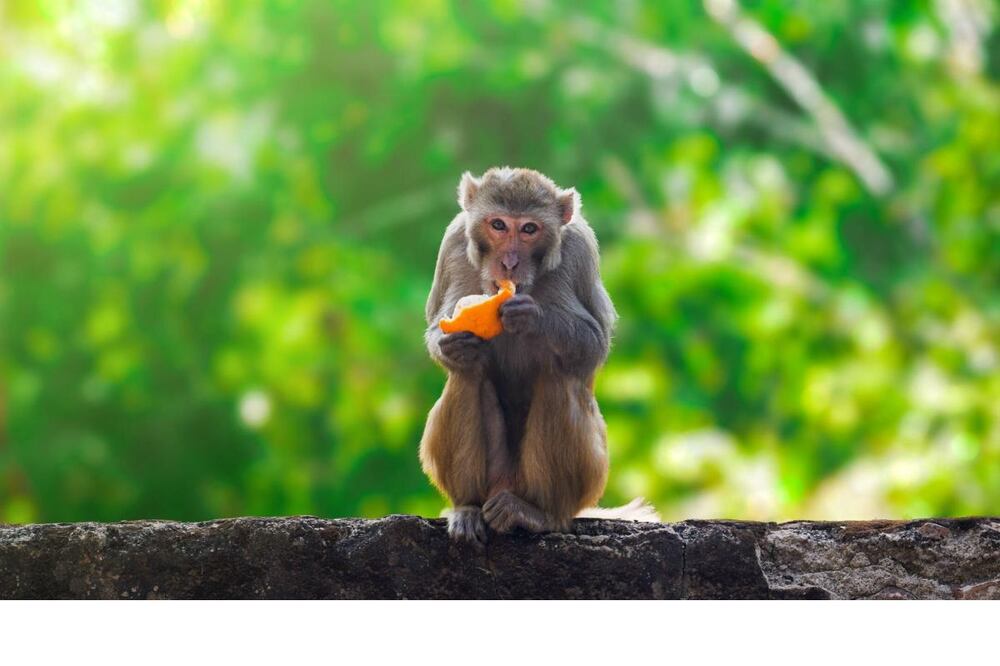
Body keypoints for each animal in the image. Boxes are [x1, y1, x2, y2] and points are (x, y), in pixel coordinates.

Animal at [420, 166, 658, 545]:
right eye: (498, 225)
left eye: (529, 229)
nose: (509, 262)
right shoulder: (454, 242)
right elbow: (439, 324)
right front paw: (450, 343)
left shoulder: (580, 249)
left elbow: (595, 343)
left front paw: (533, 317)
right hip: (496, 476)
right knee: (468, 374)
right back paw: (467, 507)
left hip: (586, 478)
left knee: (556, 373)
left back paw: (539, 514)